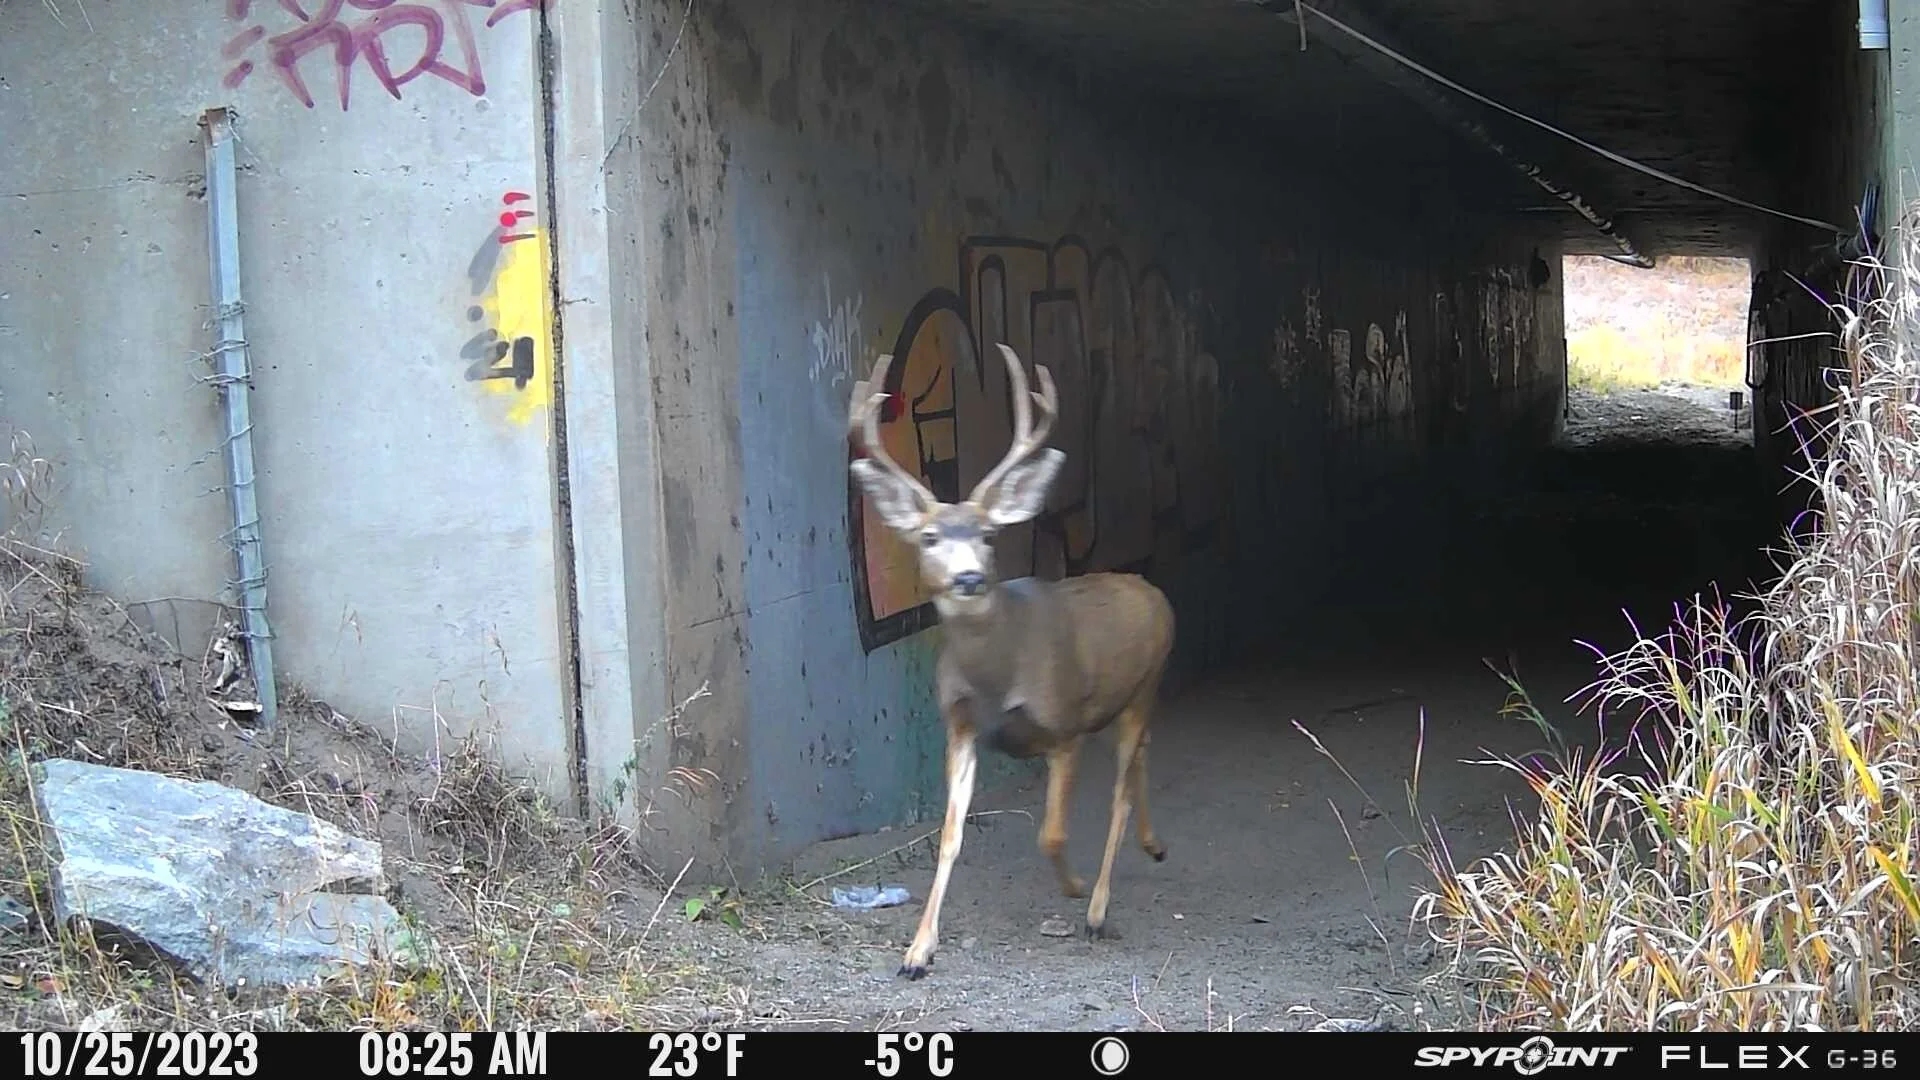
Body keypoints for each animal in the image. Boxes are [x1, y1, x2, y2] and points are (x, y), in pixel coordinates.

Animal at [848, 342, 1177, 980]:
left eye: (989, 535)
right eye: (928, 537)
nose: (970, 577)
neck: (997, 680)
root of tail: (1152, 590)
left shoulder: (1063, 724)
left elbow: (1050, 833)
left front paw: (1074, 888)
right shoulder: (961, 726)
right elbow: (950, 836)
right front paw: (917, 952)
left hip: (1146, 685)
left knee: (1122, 790)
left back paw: (1098, 910)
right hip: (1125, 702)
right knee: (1143, 758)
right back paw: (1154, 845)